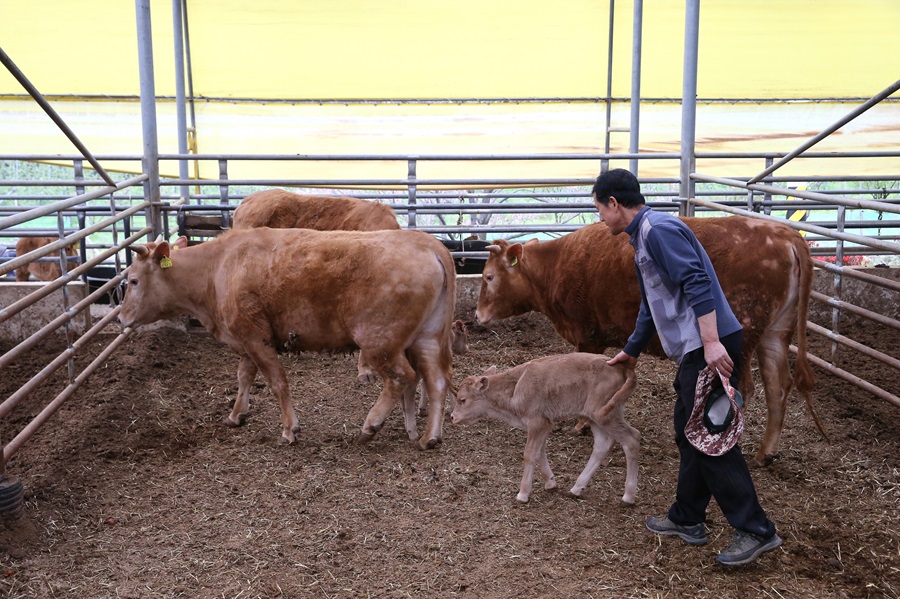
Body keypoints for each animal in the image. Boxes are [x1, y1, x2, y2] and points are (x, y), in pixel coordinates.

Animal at [118, 230, 458, 450]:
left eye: (132, 281)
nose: (121, 319)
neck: (217, 268)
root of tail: (429, 244)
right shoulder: (245, 340)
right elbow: (244, 376)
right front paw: (236, 414)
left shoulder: (257, 338)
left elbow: (277, 382)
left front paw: (289, 429)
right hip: (427, 337)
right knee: (436, 381)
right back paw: (429, 436)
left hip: (380, 341)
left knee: (401, 378)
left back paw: (370, 426)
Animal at [450, 354, 640, 504]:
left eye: (462, 399)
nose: (452, 417)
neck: (515, 388)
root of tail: (623, 367)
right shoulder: (543, 424)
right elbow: (540, 451)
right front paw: (550, 483)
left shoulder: (537, 421)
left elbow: (529, 453)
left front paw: (523, 494)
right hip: (595, 416)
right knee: (602, 444)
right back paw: (577, 488)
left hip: (604, 414)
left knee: (632, 438)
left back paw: (628, 496)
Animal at [474, 218, 828, 466]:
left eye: (489, 277)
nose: (477, 315)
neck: (557, 265)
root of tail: (786, 235)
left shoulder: (587, 337)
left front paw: (582, 424)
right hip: (774, 334)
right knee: (777, 387)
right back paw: (766, 451)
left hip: (742, 337)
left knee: (744, 389)